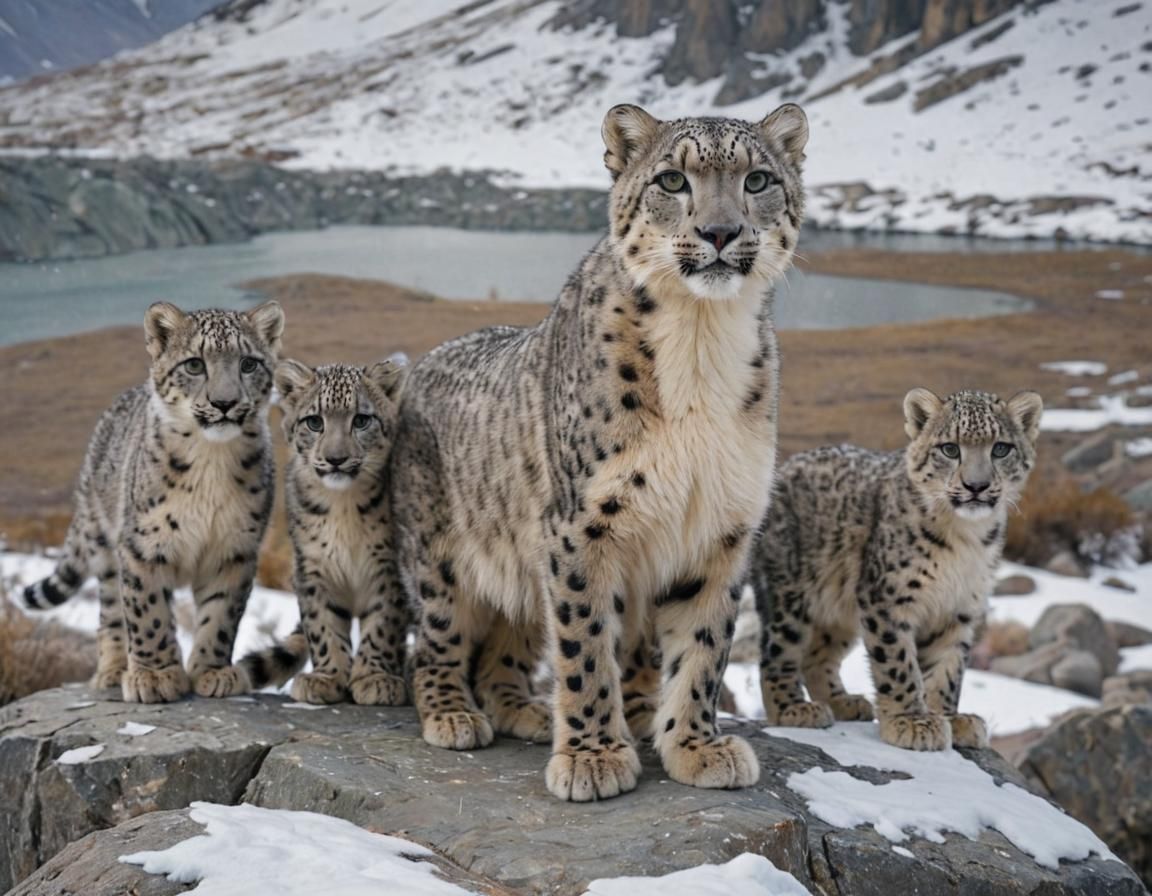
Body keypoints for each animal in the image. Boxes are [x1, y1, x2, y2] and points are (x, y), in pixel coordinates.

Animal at [23, 301, 284, 703]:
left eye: (248, 363)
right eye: (194, 364)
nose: (224, 403)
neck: (213, 461)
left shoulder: (235, 549)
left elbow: (221, 614)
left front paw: (212, 672)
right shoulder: (144, 545)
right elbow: (149, 613)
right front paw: (155, 677)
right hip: (104, 547)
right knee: (112, 614)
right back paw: (114, 671)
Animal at [238, 358, 411, 705]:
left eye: (361, 420)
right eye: (315, 422)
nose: (336, 459)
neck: (342, 507)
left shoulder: (389, 570)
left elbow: (382, 624)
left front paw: (374, 677)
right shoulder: (313, 568)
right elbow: (322, 625)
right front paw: (327, 678)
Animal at [389, 102, 809, 801]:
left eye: (757, 180)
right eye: (671, 180)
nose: (721, 232)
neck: (702, 343)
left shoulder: (721, 524)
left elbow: (705, 645)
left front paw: (697, 746)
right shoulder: (583, 524)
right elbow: (585, 643)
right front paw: (593, 757)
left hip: (522, 571)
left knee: (508, 644)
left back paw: (529, 711)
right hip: (437, 554)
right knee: (440, 640)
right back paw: (454, 715)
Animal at [750, 388, 1043, 750]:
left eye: (1001, 448)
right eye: (950, 448)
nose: (976, 486)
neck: (965, 539)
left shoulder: (960, 607)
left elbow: (948, 667)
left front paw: (951, 719)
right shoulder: (888, 597)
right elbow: (898, 663)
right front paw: (912, 721)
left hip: (838, 610)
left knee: (817, 656)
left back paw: (844, 703)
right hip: (788, 592)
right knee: (778, 652)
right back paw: (794, 709)